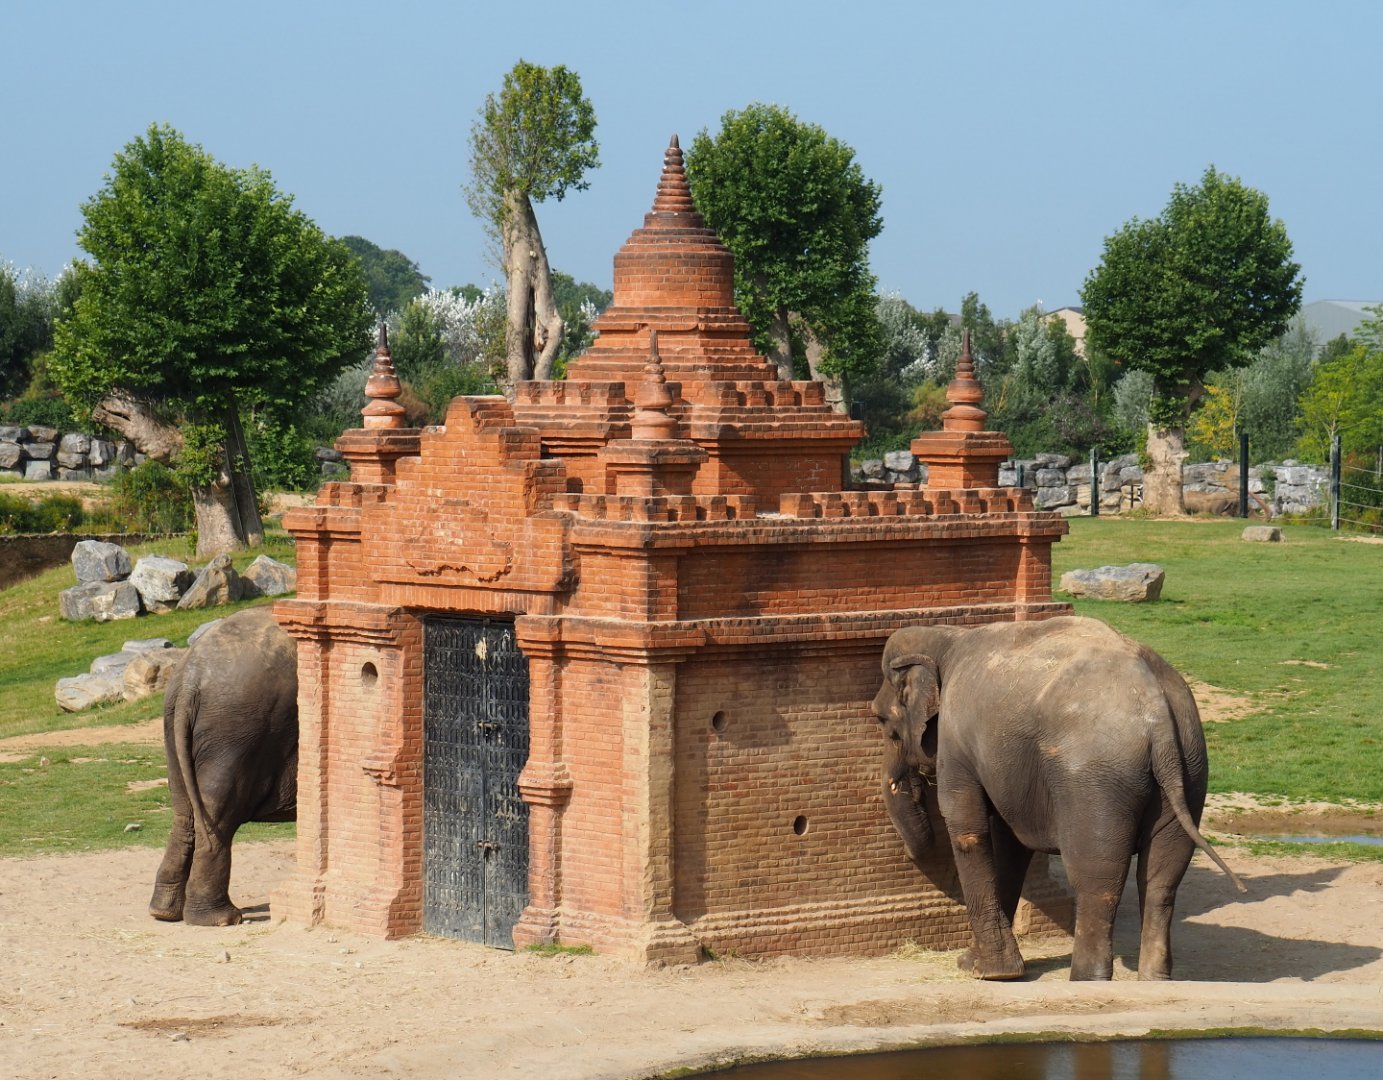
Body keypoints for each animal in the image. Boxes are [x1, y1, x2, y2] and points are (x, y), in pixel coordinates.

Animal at [149, 607, 298, 926]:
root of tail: (190, 676)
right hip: (237, 732)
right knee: (219, 810)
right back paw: (222, 919)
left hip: (175, 728)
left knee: (184, 811)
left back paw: (164, 912)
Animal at [873, 615, 1244, 982]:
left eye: (883, 722)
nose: (911, 854)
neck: (948, 638)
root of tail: (1158, 713)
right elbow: (1009, 842)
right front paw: (983, 964)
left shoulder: (956, 740)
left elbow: (968, 828)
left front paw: (985, 971)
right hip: (1190, 771)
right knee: (1161, 880)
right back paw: (1153, 981)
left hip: (1095, 782)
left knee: (1096, 880)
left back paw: (1085, 980)